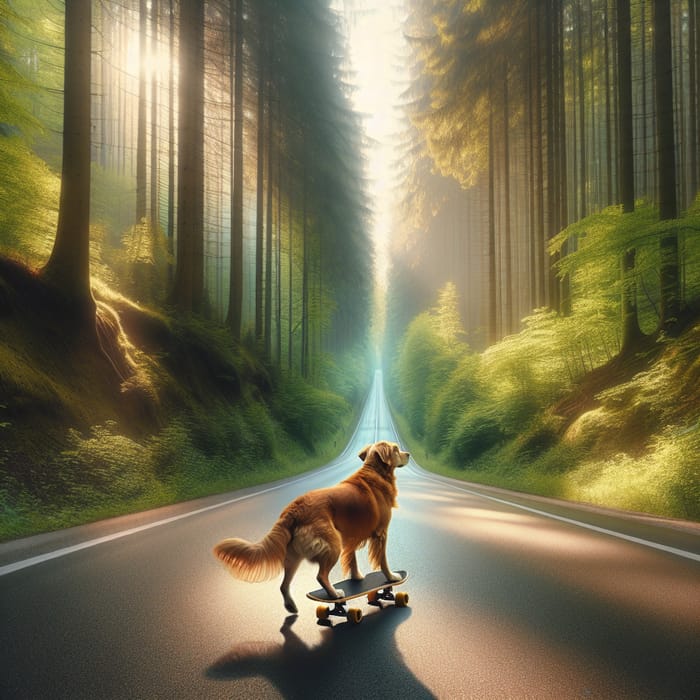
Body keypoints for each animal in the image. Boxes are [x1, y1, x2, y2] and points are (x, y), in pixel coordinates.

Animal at [213, 442, 410, 612]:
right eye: (396, 449)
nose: (408, 454)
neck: (375, 472)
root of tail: (293, 509)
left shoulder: (351, 536)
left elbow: (352, 559)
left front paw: (357, 578)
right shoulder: (381, 533)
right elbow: (383, 560)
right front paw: (391, 577)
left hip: (294, 555)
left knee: (284, 585)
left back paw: (291, 606)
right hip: (332, 543)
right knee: (320, 576)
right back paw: (335, 594)